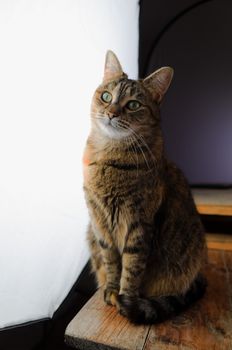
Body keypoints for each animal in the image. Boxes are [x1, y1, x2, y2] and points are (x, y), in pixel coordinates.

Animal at [83, 50, 207, 324]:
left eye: (133, 105)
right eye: (106, 96)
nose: (112, 113)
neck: (109, 158)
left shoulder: (139, 223)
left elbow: (131, 267)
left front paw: (125, 299)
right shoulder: (100, 224)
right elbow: (111, 262)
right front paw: (111, 290)